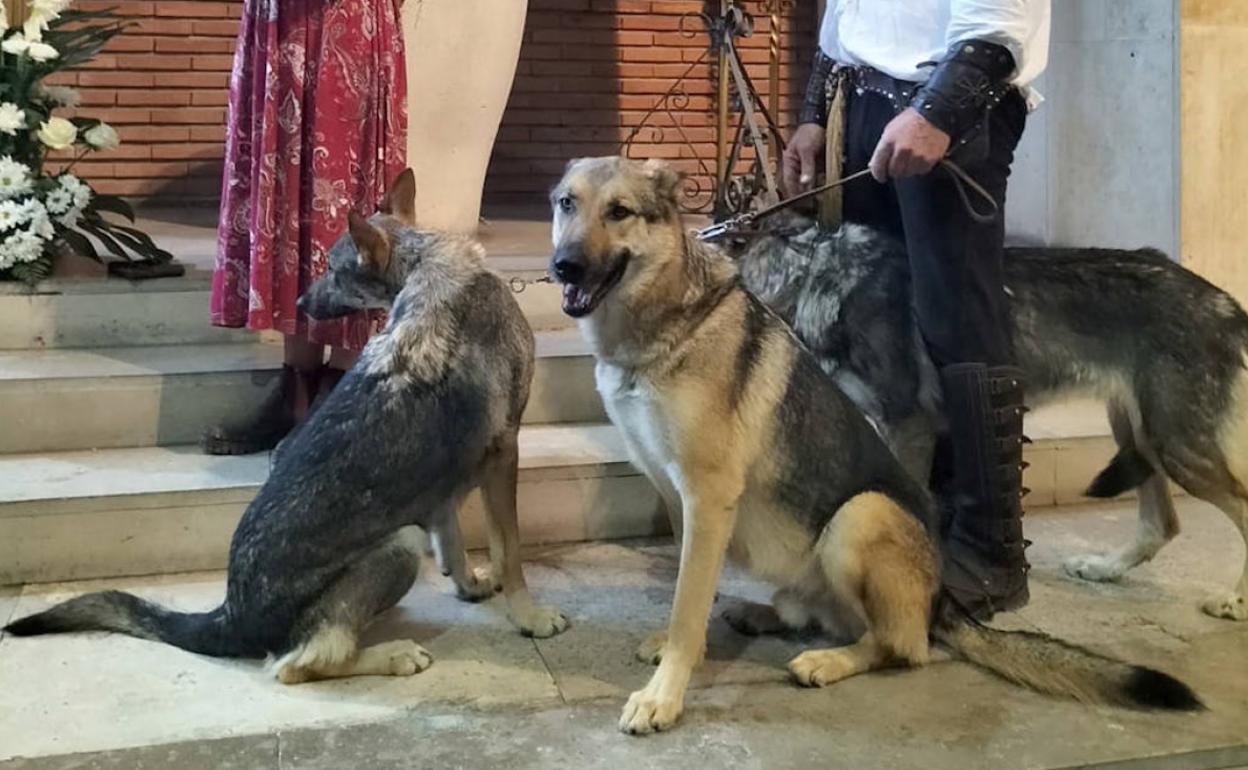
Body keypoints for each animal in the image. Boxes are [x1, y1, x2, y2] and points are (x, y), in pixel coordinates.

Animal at [4, 170, 569, 682]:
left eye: (333, 271)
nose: (298, 305)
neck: (430, 268)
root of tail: (230, 615)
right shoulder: (502, 453)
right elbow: (510, 552)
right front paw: (530, 617)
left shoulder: (448, 475)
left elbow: (452, 537)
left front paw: (469, 585)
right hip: (400, 544)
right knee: (300, 663)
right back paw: (392, 656)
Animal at [727, 215, 1248, 623]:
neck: (817, 270)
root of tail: (1224, 301)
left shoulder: (906, 427)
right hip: (1138, 433)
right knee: (1162, 523)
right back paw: (1104, 569)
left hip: (1175, 444)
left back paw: (1234, 602)